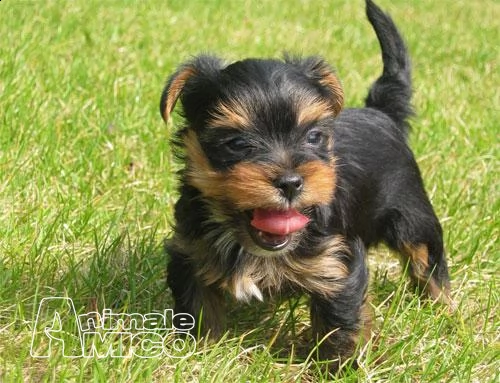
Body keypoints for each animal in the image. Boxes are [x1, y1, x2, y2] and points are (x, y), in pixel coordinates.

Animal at [159, 0, 450, 370]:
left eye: (313, 137)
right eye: (236, 144)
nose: (290, 182)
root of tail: (381, 113)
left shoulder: (337, 265)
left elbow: (340, 324)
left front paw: (338, 369)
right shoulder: (191, 251)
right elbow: (196, 306)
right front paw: (199, 353)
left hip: (412, 215)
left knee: (428, 259)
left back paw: (444, 312)